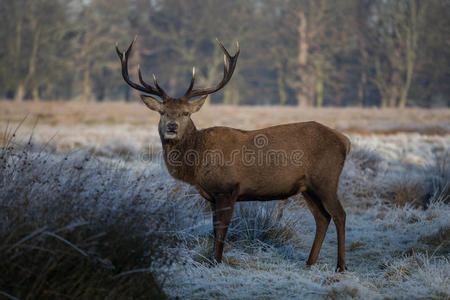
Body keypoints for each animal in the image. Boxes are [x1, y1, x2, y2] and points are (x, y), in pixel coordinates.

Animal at [116, 37, 352, 272]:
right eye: (162, 112)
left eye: (186, 113)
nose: (172, 127)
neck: (197, 163)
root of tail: (345, 141)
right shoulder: (211, 195)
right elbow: (214, 229)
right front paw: (212, 260)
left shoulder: (228, 188)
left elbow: (222, 230)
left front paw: (217, 263)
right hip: (307, 187)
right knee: (322, 218)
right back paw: (309, 263)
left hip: (326, 178)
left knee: (339, 214)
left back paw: (340, 266)